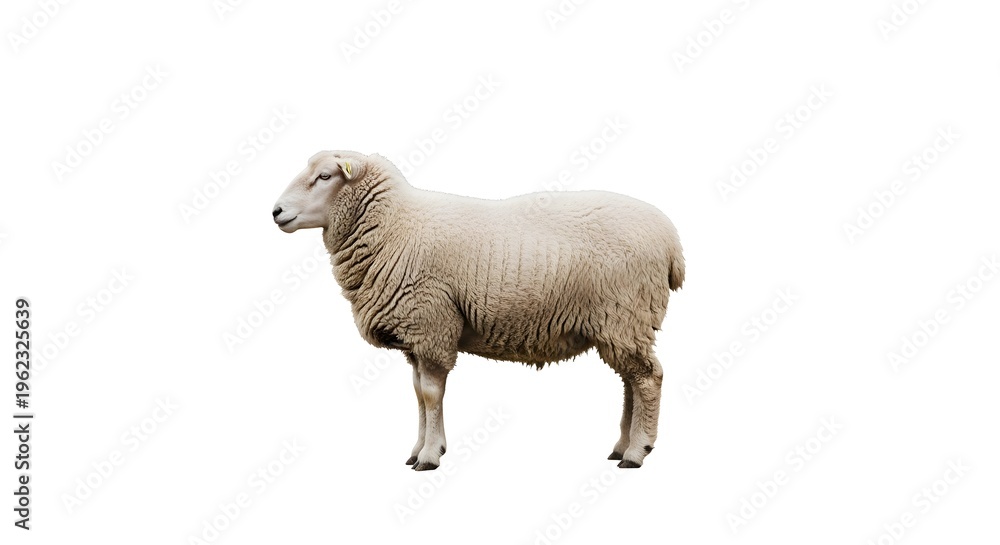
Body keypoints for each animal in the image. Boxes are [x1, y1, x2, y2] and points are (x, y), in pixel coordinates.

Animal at [272, 150, 685, 470]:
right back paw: (622, 446)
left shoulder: (432, 325)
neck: (394, 226)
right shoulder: (416, 336)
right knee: (631, 380)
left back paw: (636, 452)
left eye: (325, 176)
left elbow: (431, 394)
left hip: (625, 314)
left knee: (649, 379)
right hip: (621, 325)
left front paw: (430, 456)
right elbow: (417, 394)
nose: (276, 211)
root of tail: (671, 240)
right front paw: (417, 449)